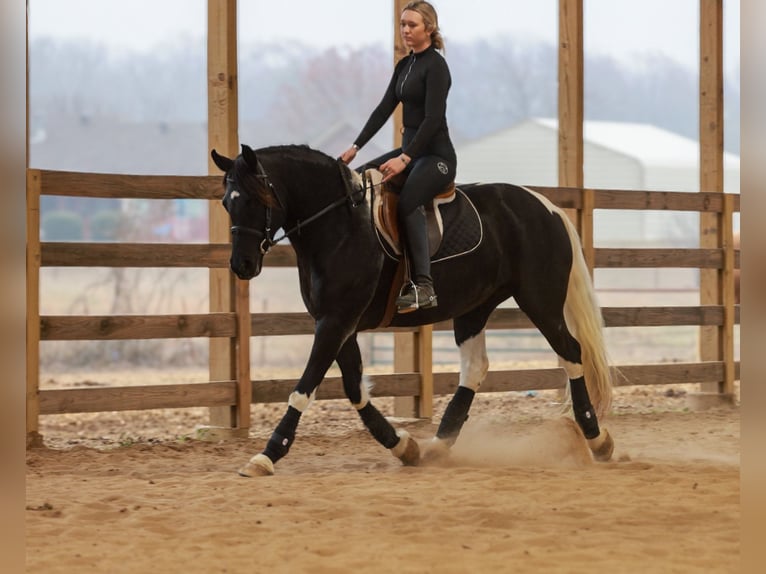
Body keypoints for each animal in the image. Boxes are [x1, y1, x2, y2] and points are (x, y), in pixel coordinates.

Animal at [211, 144, 615, 477]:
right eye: (227, 203)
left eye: (257, 198)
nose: (241, 265)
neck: (339, 226)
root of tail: (546, 207)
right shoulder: (337, 323)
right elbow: (354, 389)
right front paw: (404, 447)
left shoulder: (335, 322)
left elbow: (304, 388)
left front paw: (267, 454)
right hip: (474, 307)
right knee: (475, 368)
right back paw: (438, 446)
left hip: (540, 300)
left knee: (572, 354)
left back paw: (597, 439)